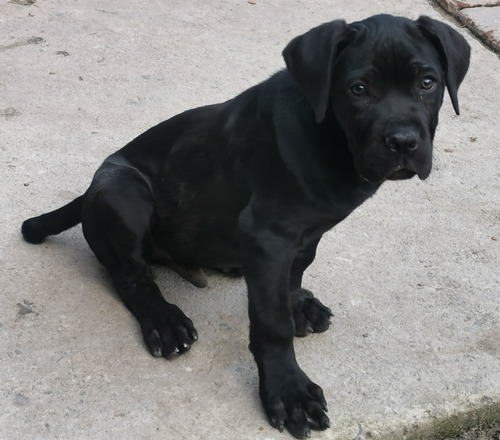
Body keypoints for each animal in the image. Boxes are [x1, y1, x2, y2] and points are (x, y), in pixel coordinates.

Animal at [22, 14, 468, 440]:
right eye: (358, 89)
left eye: (427, 83)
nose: (404, 142)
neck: (329, 135)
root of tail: (89, 190)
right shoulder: (268, 235)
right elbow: (271, 322)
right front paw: (289, 390)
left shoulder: (306, 232)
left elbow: (298, 269)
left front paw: (298, 303)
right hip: (123, 191)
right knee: (131, 277)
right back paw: (164, 320)